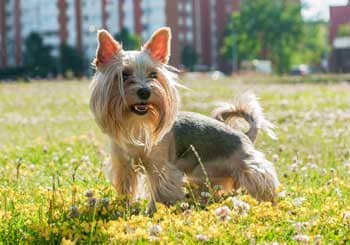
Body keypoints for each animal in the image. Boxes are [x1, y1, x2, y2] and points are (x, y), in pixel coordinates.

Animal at [89, 26, 278, 211]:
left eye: (153, 75)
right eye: (124, 75)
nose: (144, 91)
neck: (137, 125)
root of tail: (246, 136)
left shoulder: (161, 167)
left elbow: (161, 193)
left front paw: (155, 213)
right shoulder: (123, 165)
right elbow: (126, 189)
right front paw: (124, 207)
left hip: (249, 167)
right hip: (208, 177)